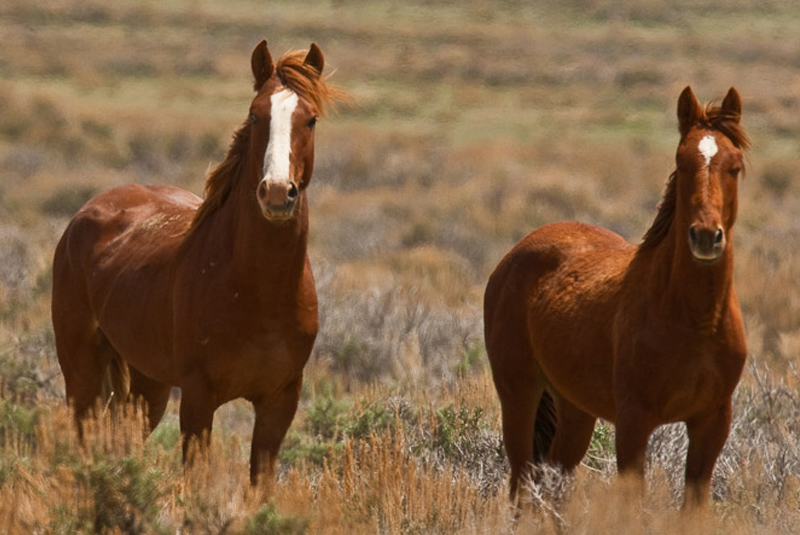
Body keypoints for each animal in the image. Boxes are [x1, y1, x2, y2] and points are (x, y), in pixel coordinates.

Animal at [51, 40, 346, 486]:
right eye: (255, 115)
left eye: (310, 119)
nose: (278, 194)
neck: (258, 290)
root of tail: (87, 212)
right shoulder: (198, 398)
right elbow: (196, 484)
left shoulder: (280, 402)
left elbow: (260, 486)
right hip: (81, 370)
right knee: (85, 441)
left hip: (149, 383)